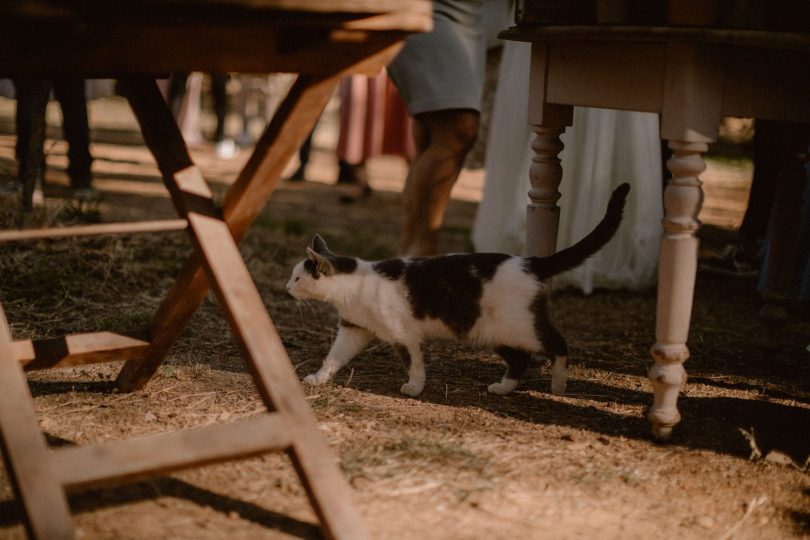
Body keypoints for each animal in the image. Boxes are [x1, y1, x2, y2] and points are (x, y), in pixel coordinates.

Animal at [286, 181, 632, 396]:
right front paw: (318, 378)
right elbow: (333, 357)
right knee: (520, 360)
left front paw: (414, 388)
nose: (287, 287)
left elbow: (414, 364)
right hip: (494, 332)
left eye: (298, 277)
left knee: (558, 345)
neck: (355, 287)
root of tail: (529, 261)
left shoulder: (402, 334)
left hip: (522, 327)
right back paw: (503, 388)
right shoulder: (354, 329)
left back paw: (559, 385)